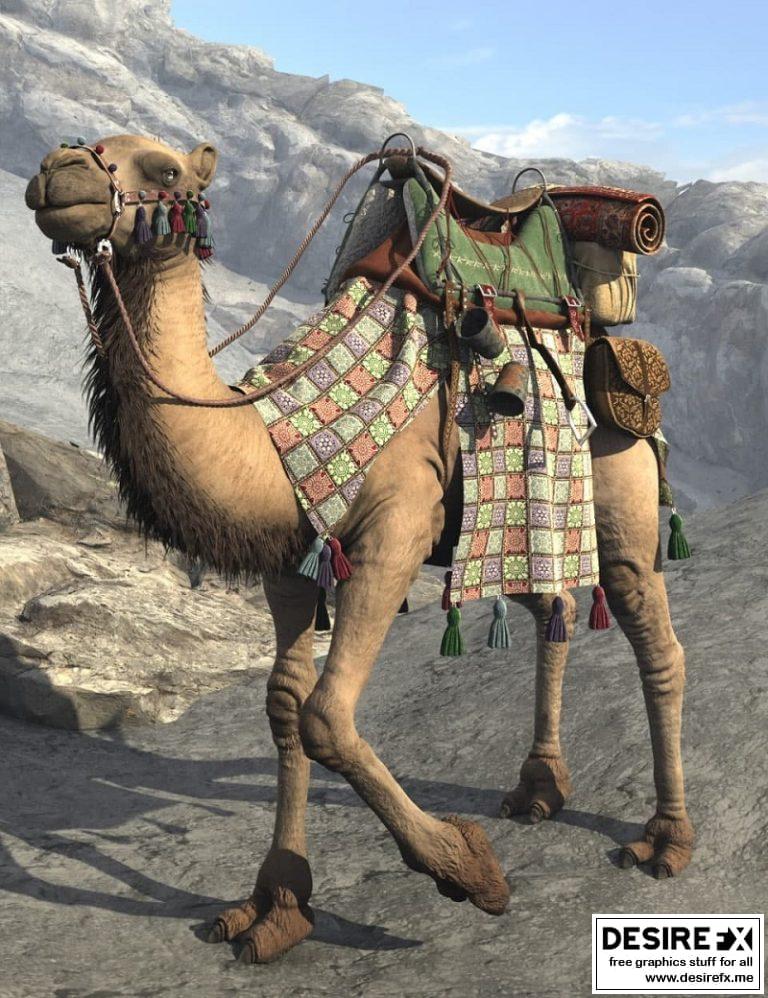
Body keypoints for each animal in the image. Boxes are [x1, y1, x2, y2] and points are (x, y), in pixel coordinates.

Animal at [25, 135, 694, 965]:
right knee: (553, 611)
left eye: (166, 169)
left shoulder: (397, 531)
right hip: (524, 515)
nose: (57, 171)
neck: (271, 437)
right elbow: (284, 706)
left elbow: (325, 717)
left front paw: (469, 871)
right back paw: (538, 790)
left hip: (620, 482)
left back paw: (665, 840)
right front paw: (275, 908)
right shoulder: (289, 560)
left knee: (654, 638)